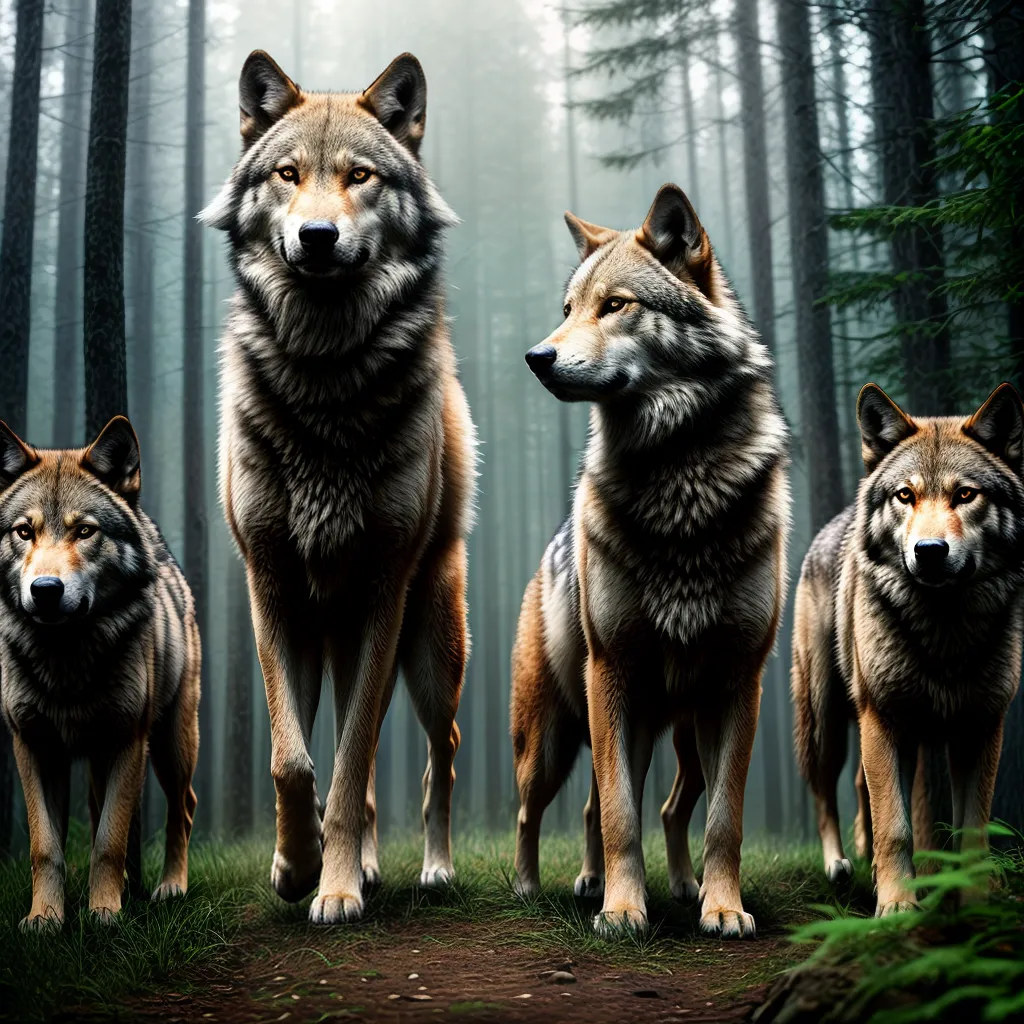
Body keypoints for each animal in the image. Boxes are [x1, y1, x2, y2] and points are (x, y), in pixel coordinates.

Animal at [0, 417, 200, 931]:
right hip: (98, 757)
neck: (65, 657)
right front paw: (45, 918)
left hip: (170, 743)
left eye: (85, 530)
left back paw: (169, 887)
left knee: (182, 808)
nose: (45, 589)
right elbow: (45, 846)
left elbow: (109, 840)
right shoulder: (32, 745)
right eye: (24, 531)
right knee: (98, 811)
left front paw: (104, 915)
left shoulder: (129, 739)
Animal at [201, 51, 476, 924]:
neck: (325, 377)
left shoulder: (384, 591)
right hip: (334, 643)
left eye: (360, 175)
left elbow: (351, 767)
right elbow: (295, 762)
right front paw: (297, 869)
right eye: (288, 174)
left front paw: (338, 886)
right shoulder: (271, 589)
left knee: (436, 753)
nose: (317, 237)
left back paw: (428, 869)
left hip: (426, 646)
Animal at [510, 184, 791, 938]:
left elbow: (724, 820)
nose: (536, 357)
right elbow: (617, 815)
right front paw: (622, 910)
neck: (679, 483)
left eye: (615, 305)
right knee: (538, 808)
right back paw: (538, 886)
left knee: (663, 806)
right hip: (558, 736)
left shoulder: (739, 683)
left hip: (679, 733)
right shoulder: (612, 673)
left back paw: (680, 888)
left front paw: (724, 908)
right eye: (568, 309)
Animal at [792, 383, 1024, 916]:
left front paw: (974, 903)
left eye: (965, 494)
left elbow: (971, 829)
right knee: (823, 788)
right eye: (906, 495)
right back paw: (839, 864)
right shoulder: (883, 719)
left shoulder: (981, 727)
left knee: (860, 787)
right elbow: (896, 828)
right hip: (829, 717)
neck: (944, 631)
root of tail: (833, 523)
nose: (930, 551)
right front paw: (897, 907)